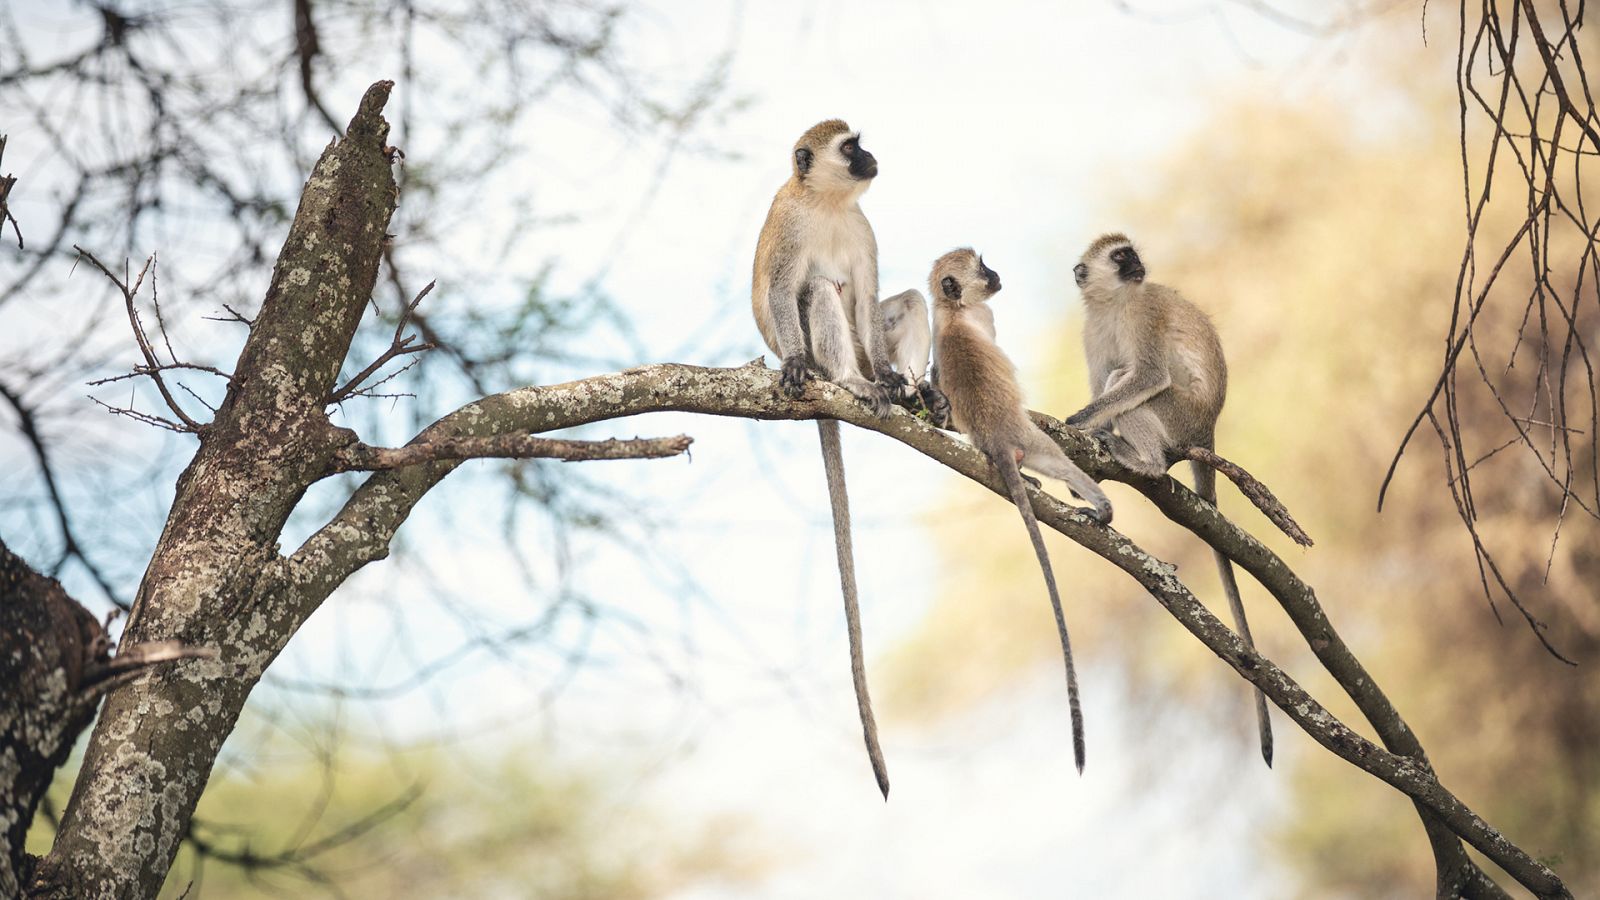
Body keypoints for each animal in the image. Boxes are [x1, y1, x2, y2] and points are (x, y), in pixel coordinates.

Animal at [928, 245, 1113, 771]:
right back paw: (1097, 502)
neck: (954, 312)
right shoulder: (986, 321)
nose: (996, 274)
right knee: (1059, 459)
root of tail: (995, 437)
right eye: (982, 268)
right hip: (1030, 439)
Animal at [1068, 230, 1280, 762]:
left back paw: (1147, 461)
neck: (1114, 303)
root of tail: (1207, 430)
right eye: (1121, 256)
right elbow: (1105, 380)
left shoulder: (1142, 316)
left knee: (1132, 382)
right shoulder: (1093, 330)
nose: (1138, 266)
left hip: (1178, 414)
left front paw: (1077, 421)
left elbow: (1145, 377)